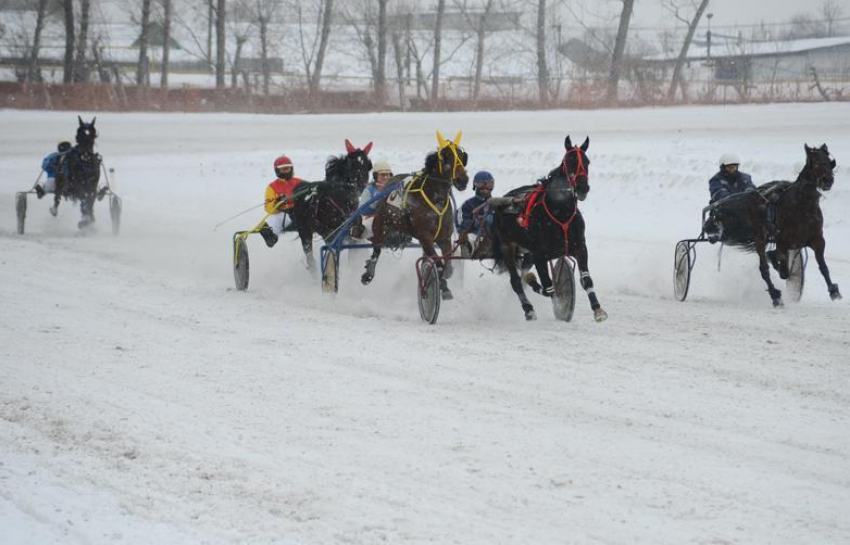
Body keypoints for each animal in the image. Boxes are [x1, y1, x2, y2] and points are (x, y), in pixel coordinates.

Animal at [356, 131, 468, 298]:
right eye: (446, 157)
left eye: (462, 156)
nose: (463, 180)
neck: (436, 199)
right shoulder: (425, 236)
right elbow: (437, 262)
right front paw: (439, 286)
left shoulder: (444, 237)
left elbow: (447, 265)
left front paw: (445, 281)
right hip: (380, 224)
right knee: (377, 247)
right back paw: (368, 273)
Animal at [486, 136, 608, 320]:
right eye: (569, 161)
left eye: (587, 161)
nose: (582, 187)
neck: (561, 213)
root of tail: (503, 200)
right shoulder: (540, 255)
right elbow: (549, 288)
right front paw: (535, 283)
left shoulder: (580, 247)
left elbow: (586, 280)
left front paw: (598, 309)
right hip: (507, 246)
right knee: (516, 281)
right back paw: (528, 308)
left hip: (527, 253)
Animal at [708, 143, 836, 306]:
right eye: (816, 163)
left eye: (829, 161)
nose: (828, 180)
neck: (802, 206)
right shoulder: (783, 240)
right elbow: (783, 270)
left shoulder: (817, 239)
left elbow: (823, 266)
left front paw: (834, 290)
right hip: (759, 237)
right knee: (764, 268)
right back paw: (775, 295)